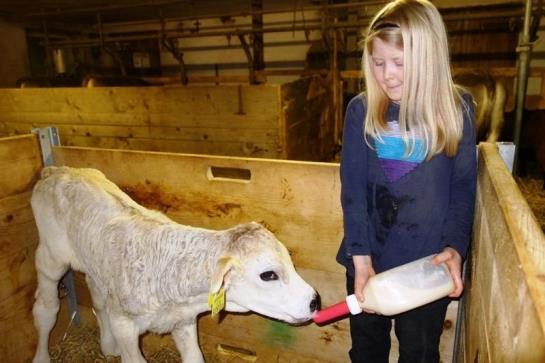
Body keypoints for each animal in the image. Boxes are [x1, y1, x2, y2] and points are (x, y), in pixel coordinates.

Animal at [30, 166, 318, 362]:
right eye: (268, 275)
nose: (315, 301)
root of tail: (59, 170)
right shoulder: (125, 325)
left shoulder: (184, 321)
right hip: (51, 256)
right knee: (46, 308)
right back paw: (42, 356)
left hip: (96, 266)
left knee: (98, 300)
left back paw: (107, 347)